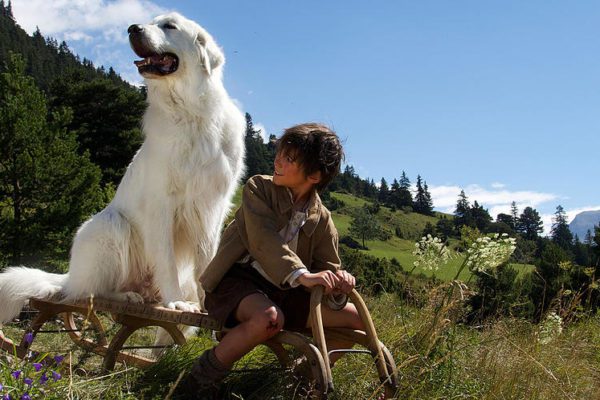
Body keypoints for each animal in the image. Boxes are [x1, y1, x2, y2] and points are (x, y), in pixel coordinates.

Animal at [0, 12, 246, 324]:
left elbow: (208, 261)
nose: (132, 28)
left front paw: (208, 305)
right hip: (110, 225)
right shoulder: (162, 205)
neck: (191, 113)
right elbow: (166, 260)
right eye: (151, 22)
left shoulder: (212, 207)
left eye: (169, 26)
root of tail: (69, 275)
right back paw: (128, 295)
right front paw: (177, 302)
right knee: (91, 291)